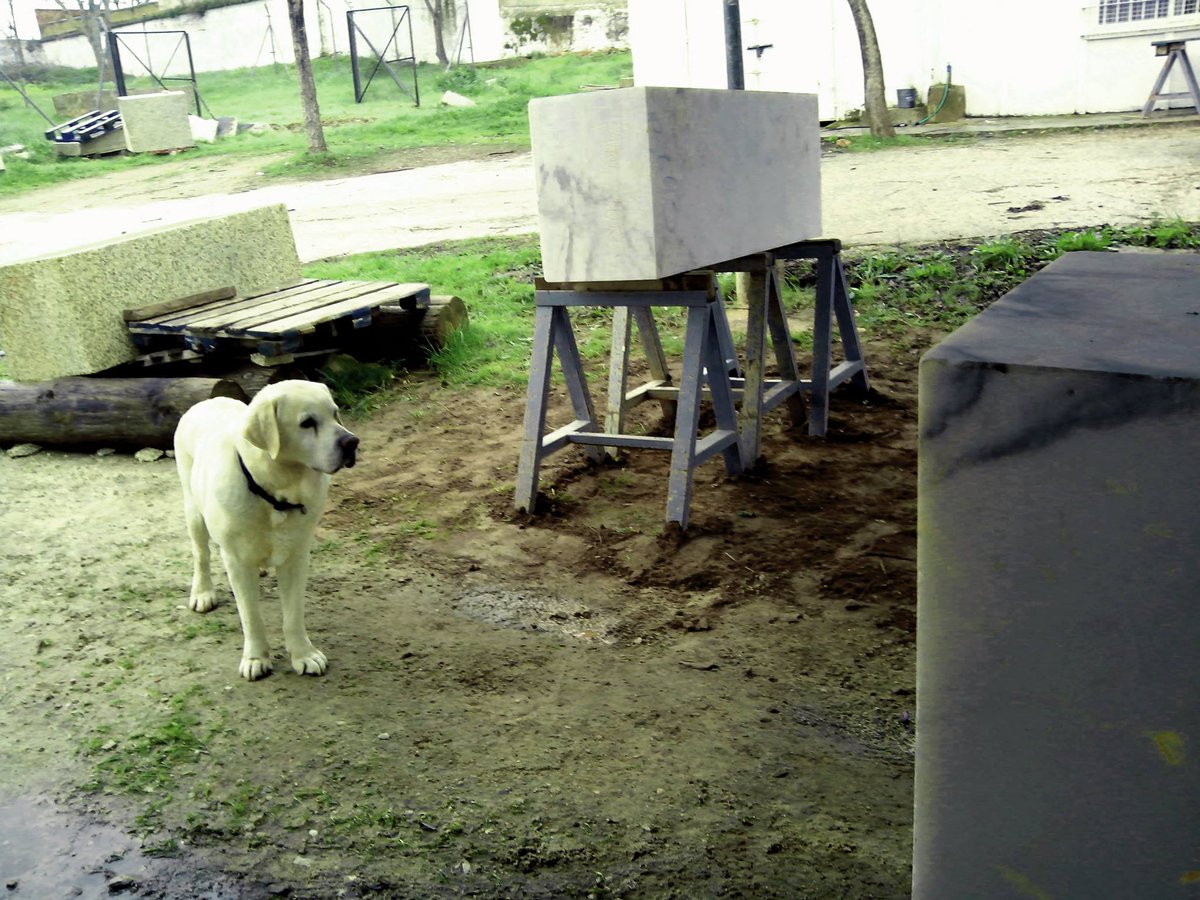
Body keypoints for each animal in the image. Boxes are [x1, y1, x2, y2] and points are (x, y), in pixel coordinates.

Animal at [174, 381, 357, 681]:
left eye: (335, 414)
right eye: (307, 423)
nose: (352, 442)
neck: (274, 495)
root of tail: (206, 402)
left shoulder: (297, 556)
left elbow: (293, 614)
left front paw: (304, 655)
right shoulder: (236, 561)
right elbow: (251, 616)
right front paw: (255, 659)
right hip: (193, 510)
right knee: (201, 555)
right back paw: (202, 593)